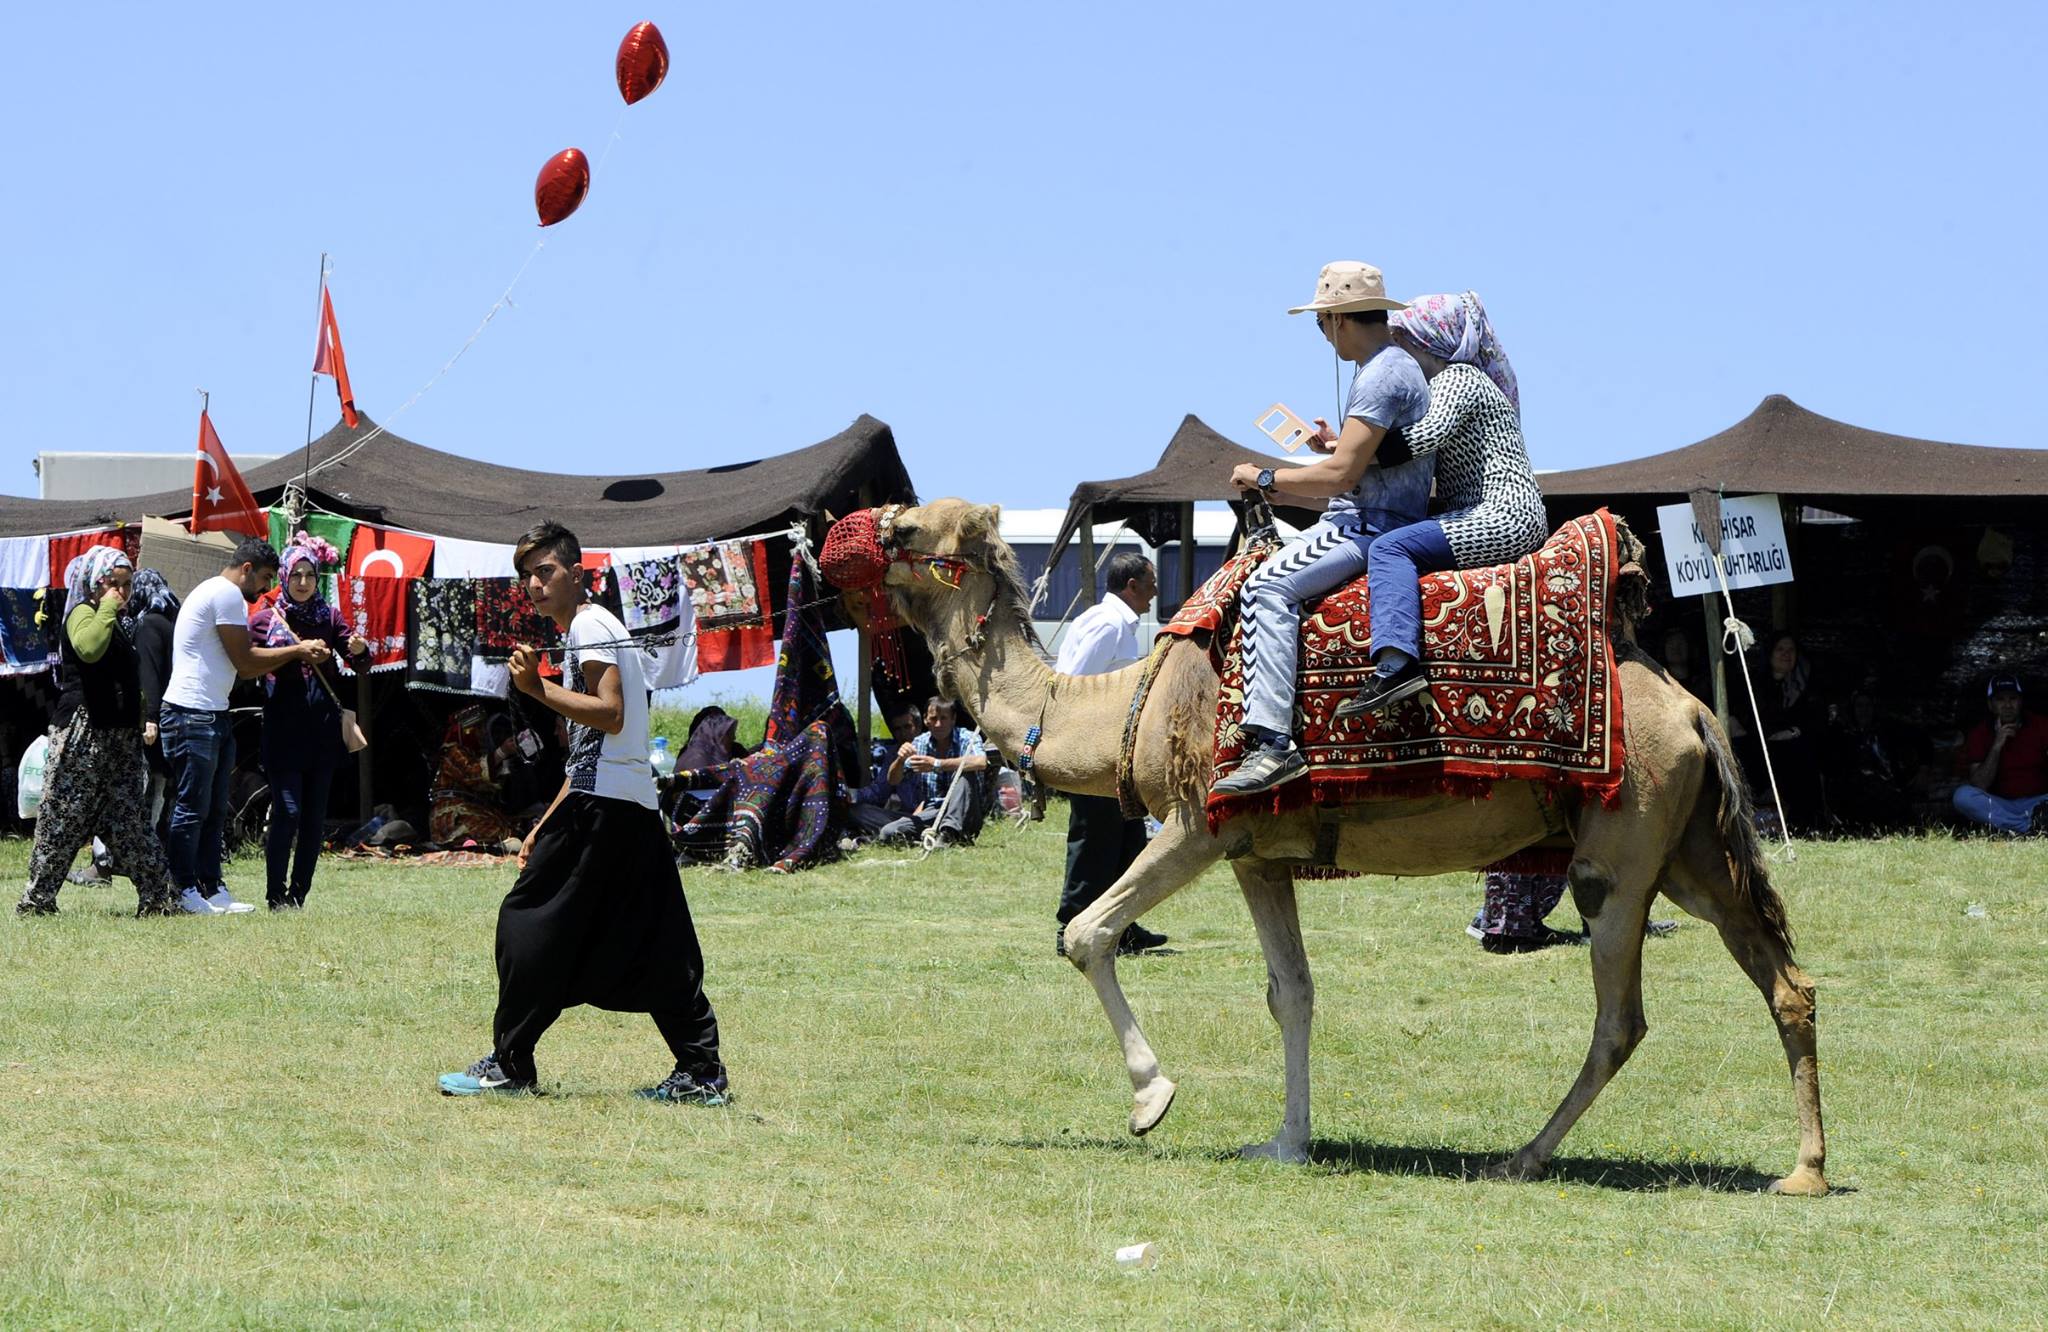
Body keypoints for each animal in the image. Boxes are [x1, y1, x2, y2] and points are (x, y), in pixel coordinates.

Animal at [839, 497, 1835, 1196]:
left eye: (907, 526)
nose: (833, 537)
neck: (1128, 702)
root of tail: (1696, 710)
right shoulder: (1256, 854)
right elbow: (1293, 994)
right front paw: (1285, 1142)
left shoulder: (1199, 824)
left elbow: (1087, 934)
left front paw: (1151, 1100)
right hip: (1689, 850)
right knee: (1785, 980)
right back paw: (1805, 1169)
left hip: (1620, 856)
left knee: (1621, 1017)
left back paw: (1523, 1157)